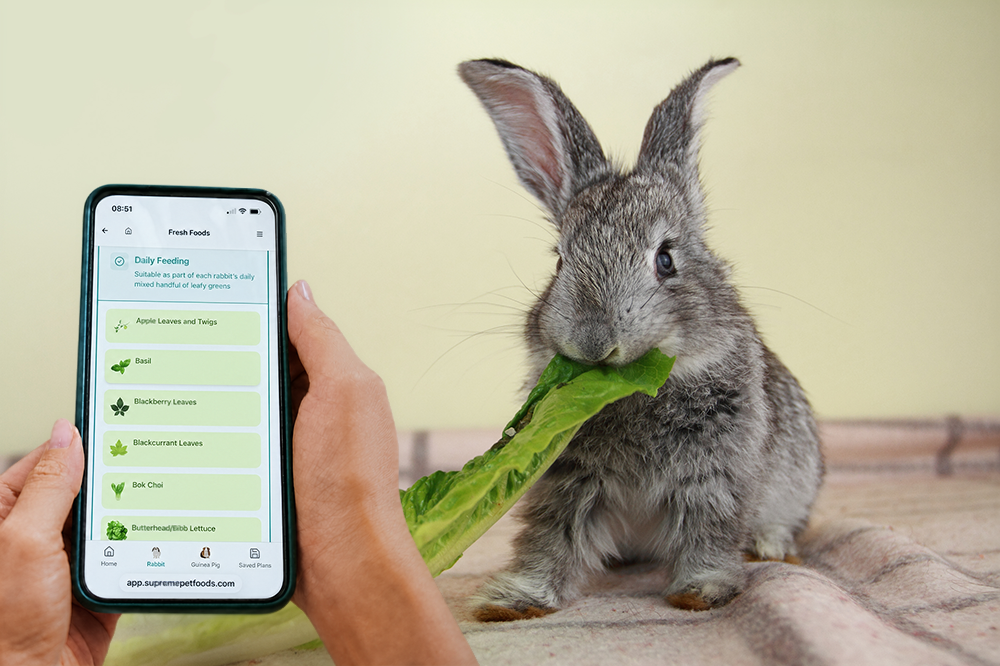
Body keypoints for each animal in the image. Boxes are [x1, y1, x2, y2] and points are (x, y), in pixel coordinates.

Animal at [457, 57, 824, 621]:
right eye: (560, 261)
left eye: (666, 259)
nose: (593, 341)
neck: (634, 391)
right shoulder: (568, 478)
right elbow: (552, 537)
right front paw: (512, 601)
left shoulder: (713, 475)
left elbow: (708, 532)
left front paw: (700, 592)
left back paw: (770, 547)